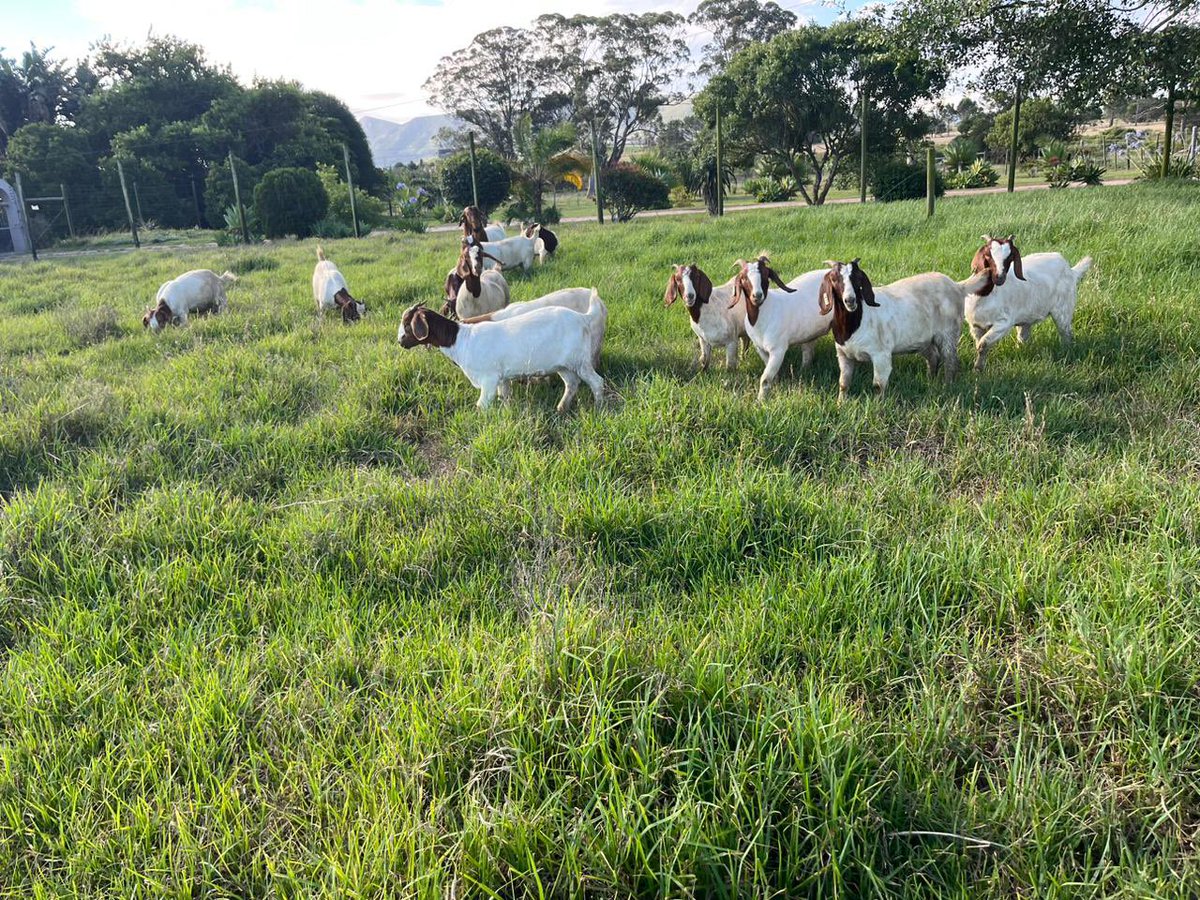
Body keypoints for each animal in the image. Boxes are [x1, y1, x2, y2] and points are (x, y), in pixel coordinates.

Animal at [398, 290, 607, 412]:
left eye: (408, 324)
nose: (400, 341)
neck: (461, 339)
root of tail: (583, 317)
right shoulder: (502, 378)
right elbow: (505, 396)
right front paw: (507, 413)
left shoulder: (488, 378)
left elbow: (482, 405)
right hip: (563, 365)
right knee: (572, 383)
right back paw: (561, 407)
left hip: (580, 361)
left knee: (597, 382)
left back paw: (599, 408)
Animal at [729, 254, 830, 401]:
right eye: (743, 277)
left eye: (766, 275)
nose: (757, 296)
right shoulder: (760, 348)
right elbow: (771, 375)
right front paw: (775, 385)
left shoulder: (778, 350)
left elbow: (765, 379)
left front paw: (760, 401)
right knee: (808, 351)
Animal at [819, 259, 984, 400]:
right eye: (834, 279)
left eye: (857, 279)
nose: (850, 300)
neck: (855, 323)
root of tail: (957, 286)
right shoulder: (843, 355)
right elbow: (843, 384)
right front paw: (841, 404)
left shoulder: (881, 355)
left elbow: (878, 386)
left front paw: (877, 407)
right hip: (921, 339)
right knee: (933, 357)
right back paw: (931, 382)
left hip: (948, 334)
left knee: (951, 362)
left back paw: (947, 387)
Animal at [965, 235, 1093, 372]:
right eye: (988, 255)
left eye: (1009, 257)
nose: (999, 277)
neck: (985, 296)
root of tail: (1072, 271)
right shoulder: (975, 326)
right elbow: (980, 346)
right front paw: (978, 368)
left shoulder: (1003, 323)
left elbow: (983, 345)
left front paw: (977, 368)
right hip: (1027, 318)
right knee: (1023, 337)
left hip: (1063, 310)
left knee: (1066, 334)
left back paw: (1066, 353)